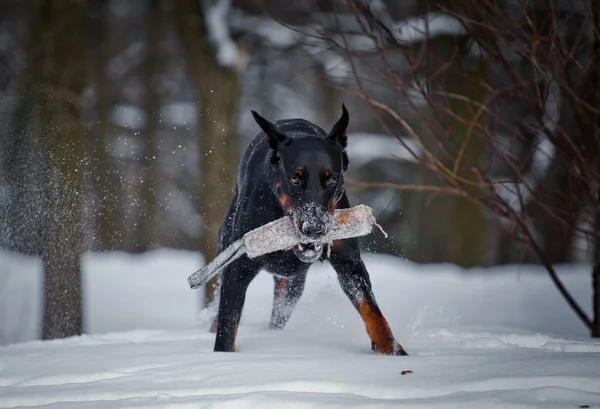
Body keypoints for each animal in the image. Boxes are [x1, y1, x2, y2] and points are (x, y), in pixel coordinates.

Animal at [211, 104, 408, 354]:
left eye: (331, 179)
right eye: (296, 179)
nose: (314, 228)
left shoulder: (349, 262)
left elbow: (372, 310)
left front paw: (392, 350)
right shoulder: (237, 268)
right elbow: (227, 324)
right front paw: (223, 357)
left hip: (291, 286)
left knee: (279, 313)